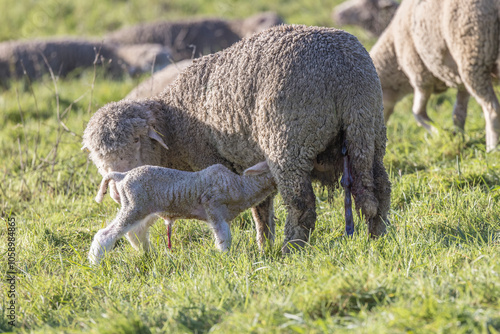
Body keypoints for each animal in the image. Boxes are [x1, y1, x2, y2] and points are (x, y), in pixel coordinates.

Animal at [84, 24, 392, 253]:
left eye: (137, 141)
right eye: (96, 155)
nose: (117, 190)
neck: (175, 123)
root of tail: (343, 71)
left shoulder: (212, 157)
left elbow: (256, 206)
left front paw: (264, 247)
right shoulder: (249, 158)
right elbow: (261, 208)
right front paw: (263, 246)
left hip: (289, 140)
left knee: (301, 204)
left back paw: (291, 250)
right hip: (368, 129)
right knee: (379, 189)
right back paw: (378, 238)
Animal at [90, 160, 278, 264]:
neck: (241, 186)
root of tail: (122, 175)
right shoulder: (213, 207)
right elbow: (224, 238)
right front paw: (226, 257)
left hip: (144, 209)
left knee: (136, 232)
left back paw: (148, 253)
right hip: (134, 206)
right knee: (105, 235)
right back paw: (94, 262)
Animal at [372, 0, 500, 151]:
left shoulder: (420, 76)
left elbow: (417, 112)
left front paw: (439, 133)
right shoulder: (460, 81)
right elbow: (458, 112)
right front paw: (459, 138)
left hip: (472, 54)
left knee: (492, 109)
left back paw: (492, 148)